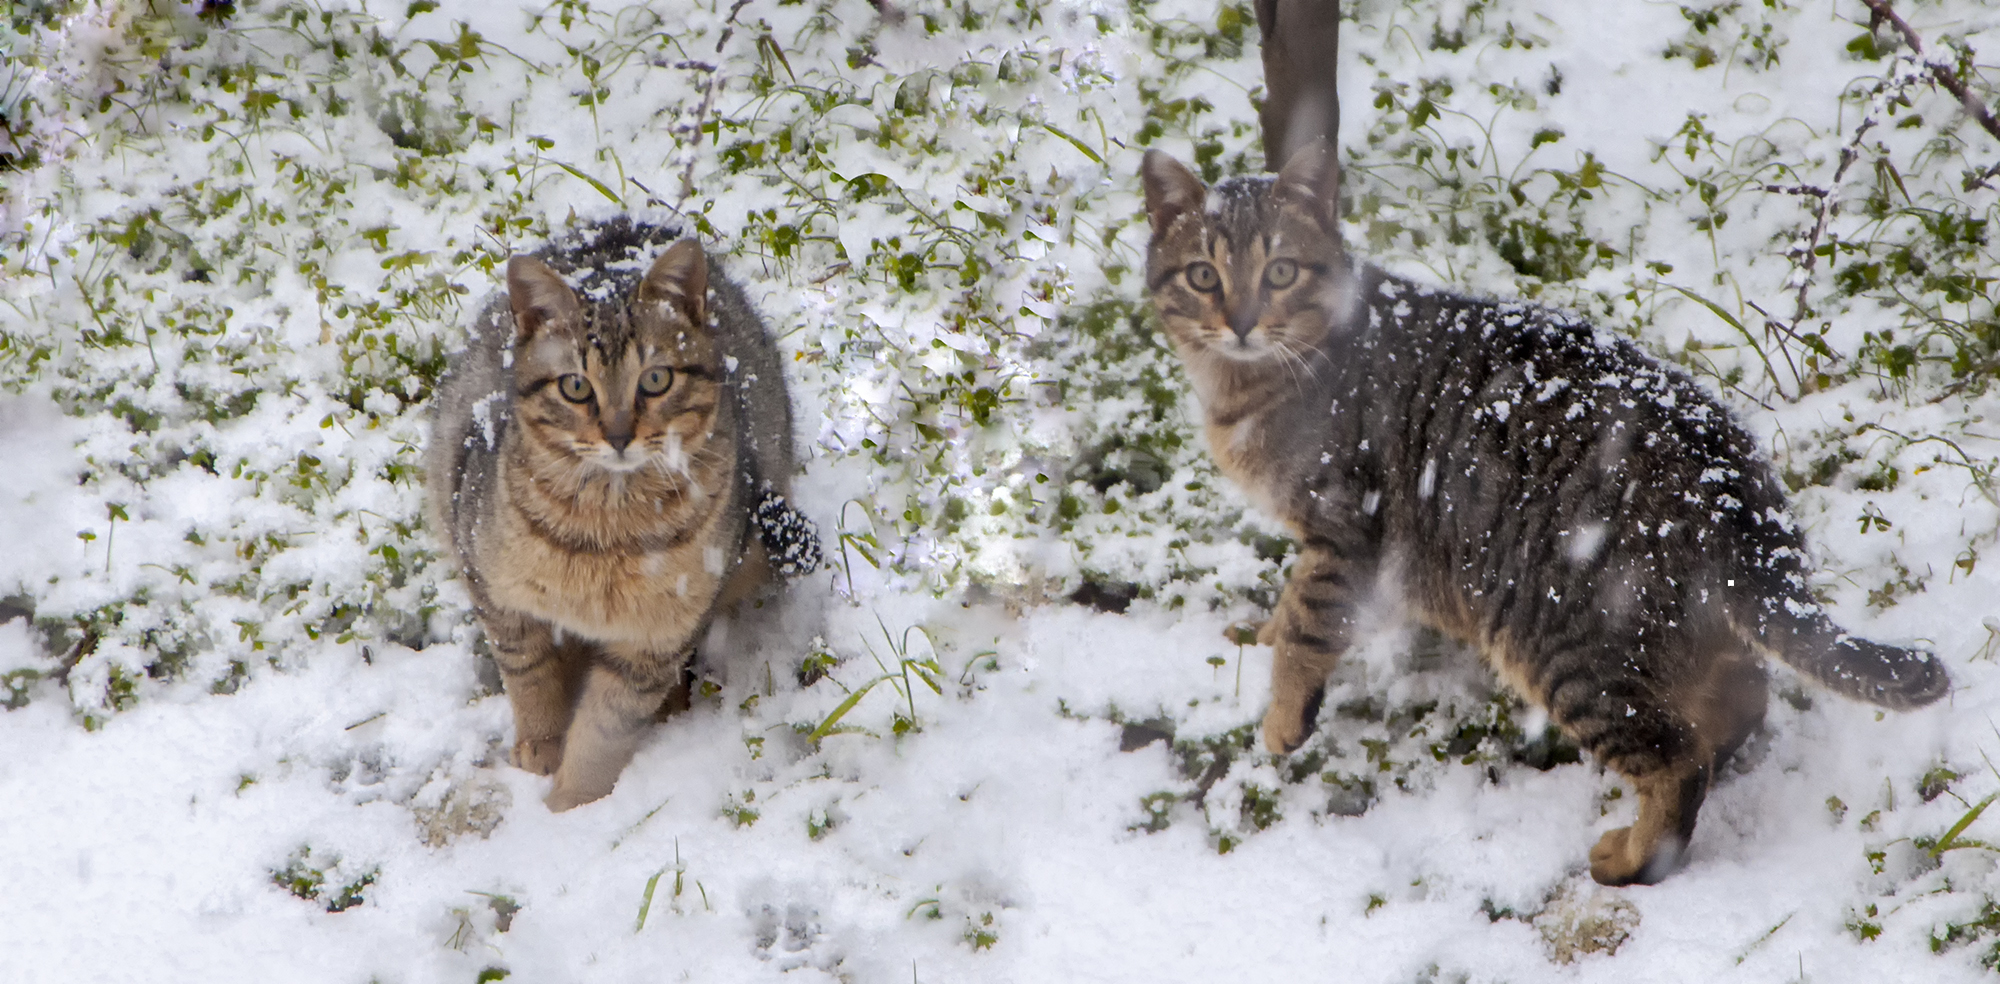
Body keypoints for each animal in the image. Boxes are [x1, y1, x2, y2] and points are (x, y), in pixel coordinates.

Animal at [432, 219, 820, 812]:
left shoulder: (654, 641)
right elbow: (530, 676)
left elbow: (603, 730)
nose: (617, 435)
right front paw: (542, 746)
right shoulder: (496, 593)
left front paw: (570, 808)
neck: (607, 532)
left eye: (656, 379)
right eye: (575, 385)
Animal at [1144, 144, 1952, 884]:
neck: (1248, 387)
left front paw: (1282, 716)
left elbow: (1307, 624)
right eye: (1203, 275)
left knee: (1677, 758)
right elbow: (1290, 608)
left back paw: (1629, 859)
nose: (1241, 321)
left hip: (1562, 646)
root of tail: (1731, 487)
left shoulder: (1345, 532)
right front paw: (1261, 633)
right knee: (1737, 708)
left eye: (1280, 272)